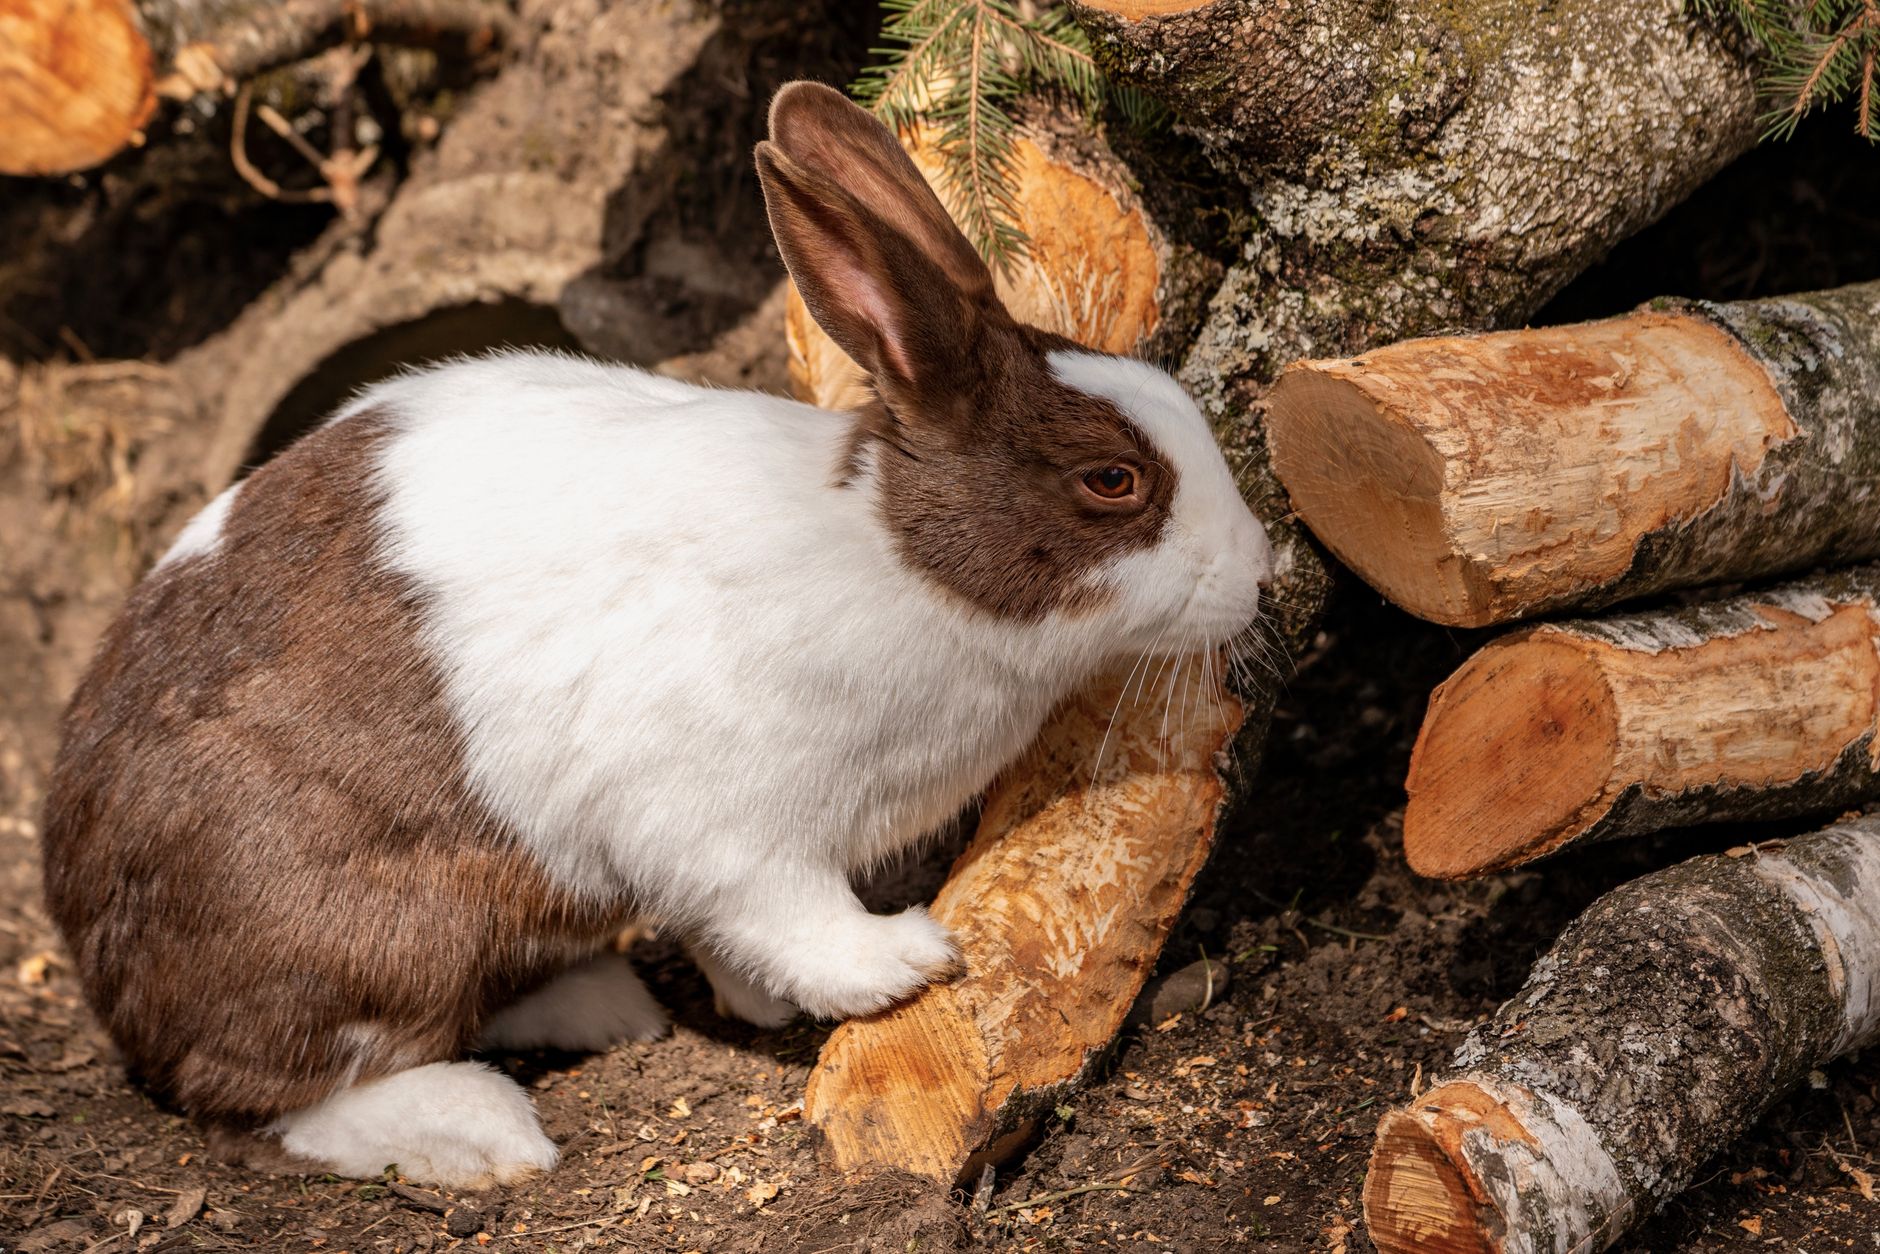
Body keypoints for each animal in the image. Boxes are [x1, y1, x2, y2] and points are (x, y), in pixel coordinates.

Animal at [39, 81, 1274, 1189]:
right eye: (1112, 481)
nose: (1260, 573)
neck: (895, 559)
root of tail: (94, 941)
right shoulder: (727, 828)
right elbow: (790, 916)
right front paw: (903, 962)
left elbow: (733, 940)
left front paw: (756, 1001)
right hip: (356, 939)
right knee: (271, 1097)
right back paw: (481, 1134)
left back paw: (600, 1005)